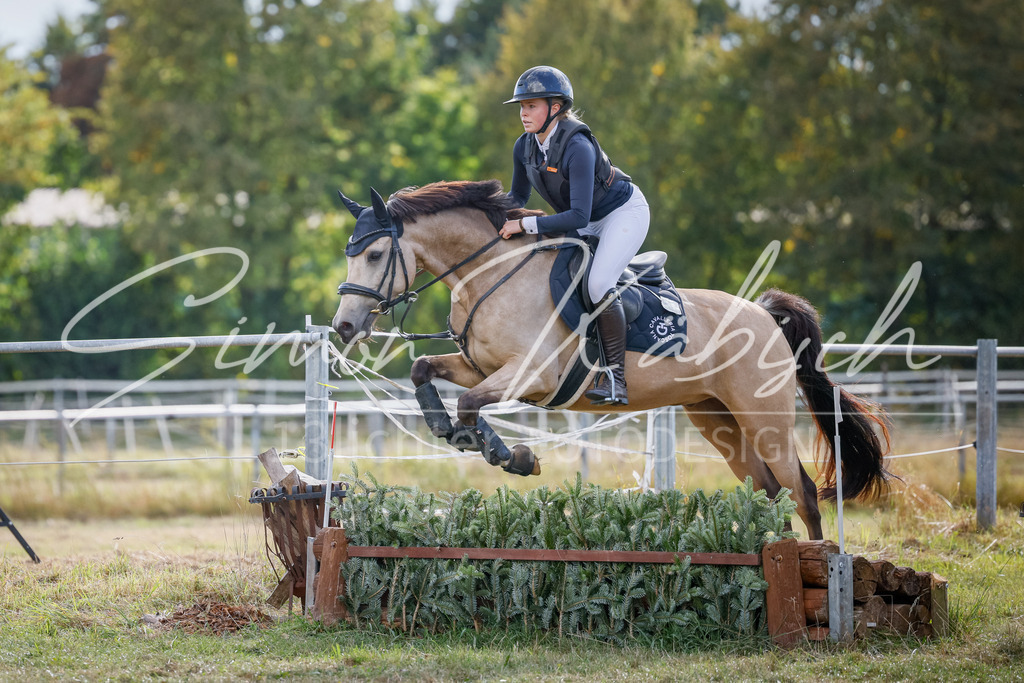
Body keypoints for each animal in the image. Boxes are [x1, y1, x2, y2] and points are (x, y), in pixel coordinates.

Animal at [331, 179, 893, 539]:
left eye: (375, 256)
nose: (345, 327)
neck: (490, 272)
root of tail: (764, 314)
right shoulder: (483, 367)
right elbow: (425, 370)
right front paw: (453, 430)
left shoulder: (532, 375)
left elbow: (470, 404)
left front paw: (506, 454)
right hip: (718, 419)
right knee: (769, 492)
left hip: (764, 418)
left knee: (802, 492)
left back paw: (820, 569)